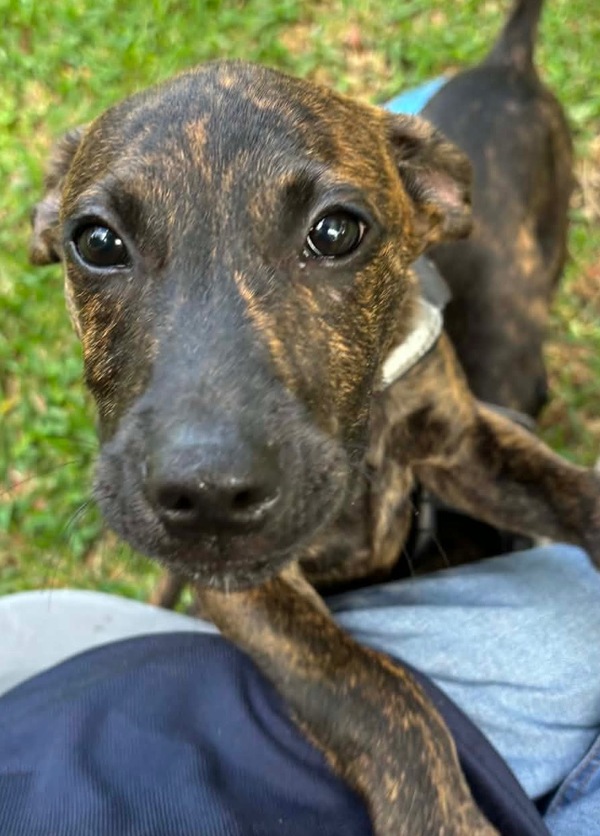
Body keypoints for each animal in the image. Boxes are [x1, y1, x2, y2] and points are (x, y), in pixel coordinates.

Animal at [29, 0, 599, 832]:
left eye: (336, 232)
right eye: (97, 241)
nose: (208, 495)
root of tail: (510, 60)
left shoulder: (464, 447)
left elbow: (573, 490)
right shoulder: (249, 592)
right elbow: (371, 689)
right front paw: (440, 814)